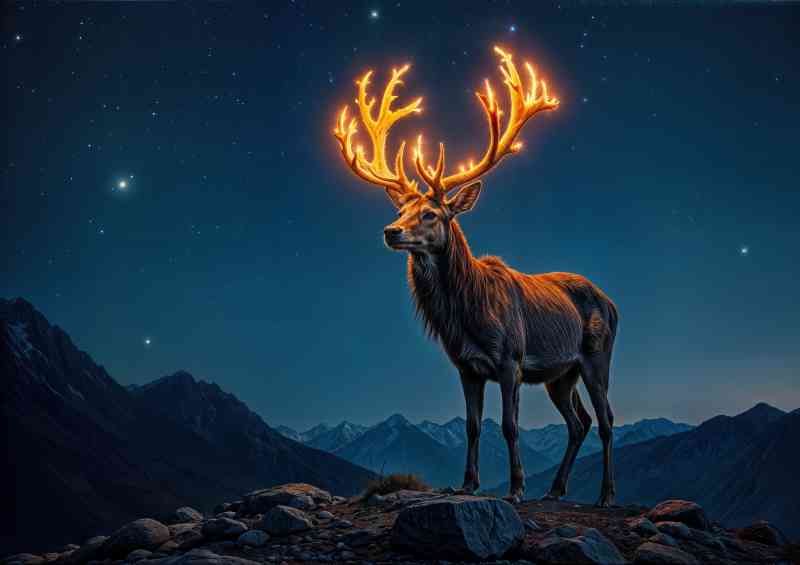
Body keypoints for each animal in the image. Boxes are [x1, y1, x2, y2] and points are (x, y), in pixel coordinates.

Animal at [333, 46, 619, 506]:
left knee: (607, 419)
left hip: (597, 356)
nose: (391, 231)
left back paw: (605, 495)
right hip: (561, 373)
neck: (467, 314)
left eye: (431, 214)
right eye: (402, 210)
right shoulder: (465, 365)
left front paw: (516, 488)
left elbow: (508, 425)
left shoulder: (511, 358)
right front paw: (468, 483)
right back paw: (555, 490)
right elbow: (470, 426)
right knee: (580, 422)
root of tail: (612, 303)